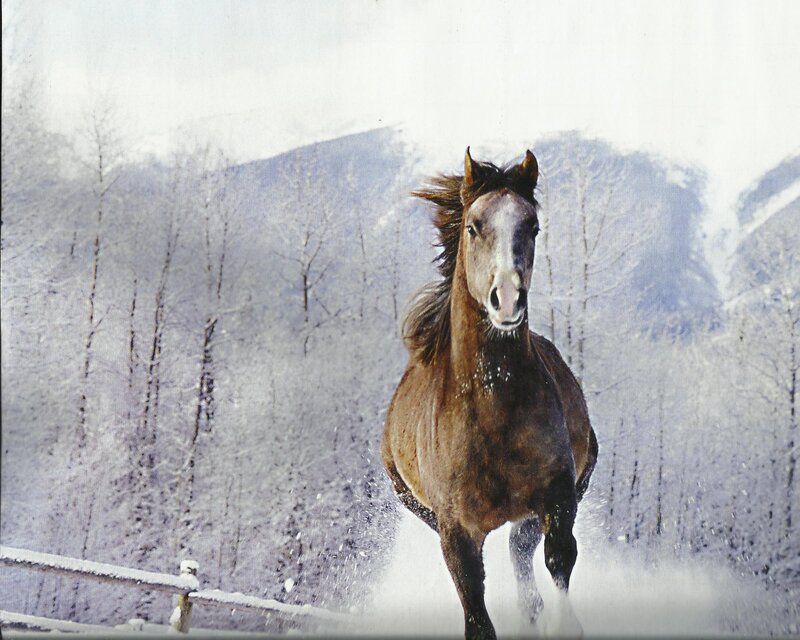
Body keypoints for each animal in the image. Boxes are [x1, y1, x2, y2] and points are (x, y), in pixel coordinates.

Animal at [382, 148, 598, 639]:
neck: (494, 408)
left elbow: (559, 561)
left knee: (522, 558)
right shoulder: (456, 534)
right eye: (473, 226)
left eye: (532, 226)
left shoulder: (558, 496)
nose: (508, 300)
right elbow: (477, 617)